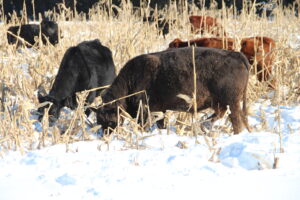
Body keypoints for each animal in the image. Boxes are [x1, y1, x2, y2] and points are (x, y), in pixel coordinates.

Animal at [96, 47, 251, 134]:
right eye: (99, 121)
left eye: (111, 121)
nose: (106, 135)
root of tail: (236, 55)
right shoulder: (160, 110)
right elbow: (161, 123)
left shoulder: (145, 111)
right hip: (222, 102)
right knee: (225, 114)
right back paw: (204, 124)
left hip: (231, 102)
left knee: (235, 119)